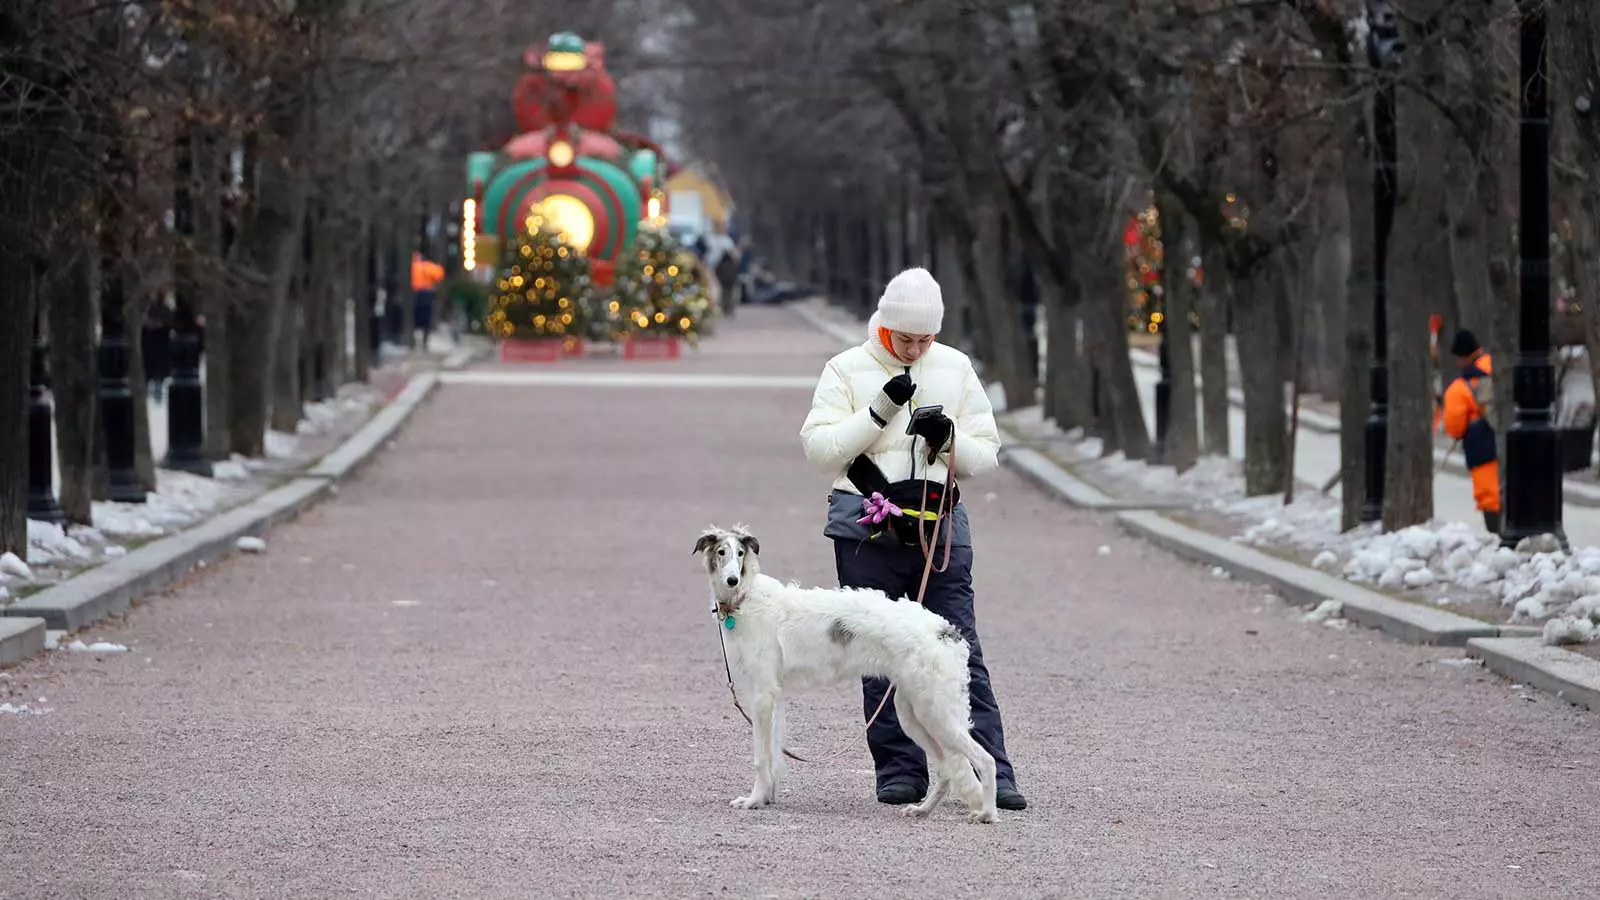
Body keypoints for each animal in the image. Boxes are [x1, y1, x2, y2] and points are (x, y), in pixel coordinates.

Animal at [691, 518, 998, 819]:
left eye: (740, 553)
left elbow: (761, 757)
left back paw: (987, 812)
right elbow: (775, 754)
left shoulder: (762, 695)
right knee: (950, 768)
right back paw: (923, 809)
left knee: (985, 759)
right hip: (913, 713)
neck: (746, 597)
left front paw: (753, 800)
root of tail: (946, 630)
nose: (732, 580)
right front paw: (767, 797)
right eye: (721, 552)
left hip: (935, 713)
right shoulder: (773, 696)